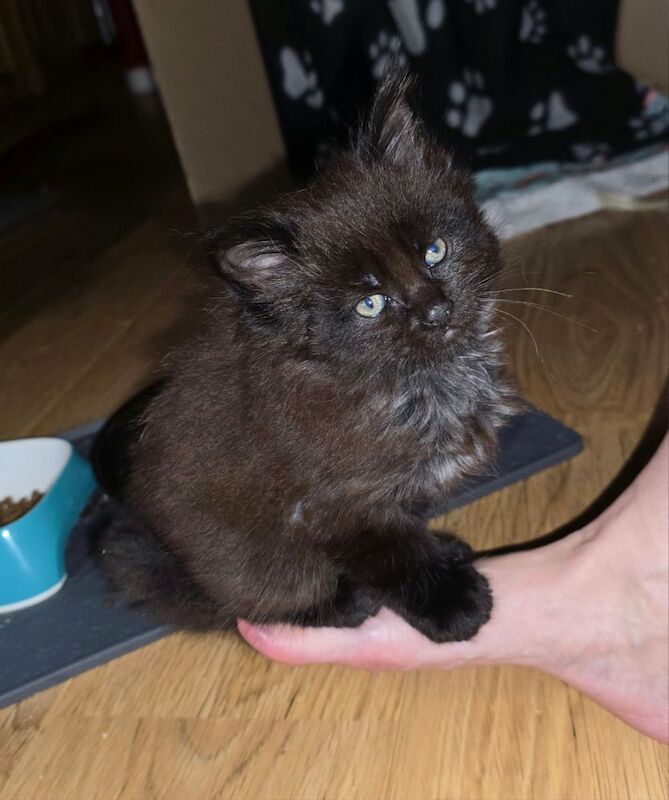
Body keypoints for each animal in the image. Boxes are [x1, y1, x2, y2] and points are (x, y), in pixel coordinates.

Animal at [99, 73, 516, 644]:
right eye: (371, 303)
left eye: (435, 251)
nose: (436, 310)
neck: (421, 382)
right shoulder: (329, 509)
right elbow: (395, 557)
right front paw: (452, 604)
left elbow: (410, 534)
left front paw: (445, 558)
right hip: (255, 563)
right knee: (264, 602)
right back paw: (345, 603)